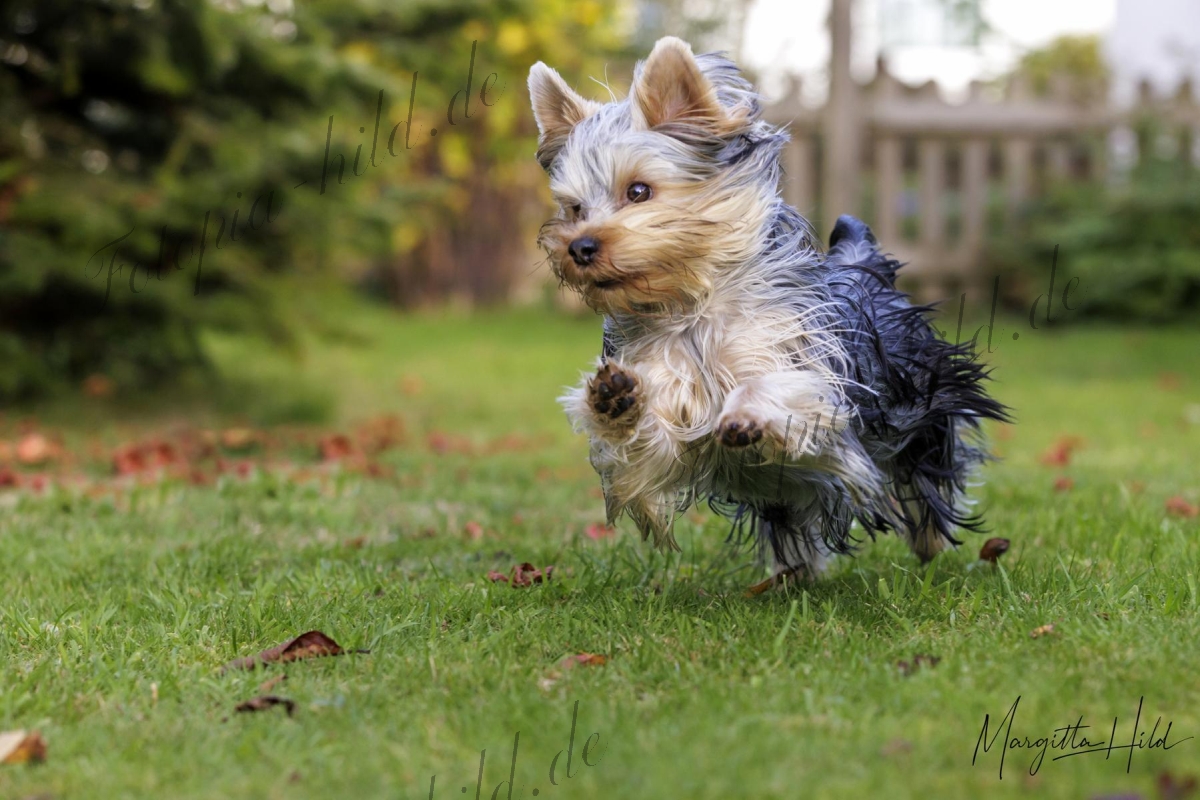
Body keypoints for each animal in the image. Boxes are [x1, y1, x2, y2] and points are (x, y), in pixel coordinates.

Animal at [528, 37, 1010, 578]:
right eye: (574, 209)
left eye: (638, 191)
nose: (579, 247)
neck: (692, 309)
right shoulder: (667, 431)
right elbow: (648, 452)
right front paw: (613, 400)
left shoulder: (810, 371)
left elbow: (777, 388)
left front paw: (745, 413)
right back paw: (795, 573)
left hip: (919, 406)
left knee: (924, 478)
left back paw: (930, 543)